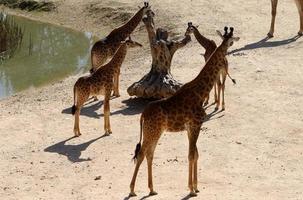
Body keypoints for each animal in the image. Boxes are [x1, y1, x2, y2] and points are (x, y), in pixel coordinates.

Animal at [129, 26, 241, 197]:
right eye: (229, 41)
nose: (228, 54)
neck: (200, 92)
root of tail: (142, 116)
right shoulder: (195, 124)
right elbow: (191, 155)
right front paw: (192, 189)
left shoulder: (190, 127)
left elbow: (195, 154)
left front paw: (196, 187)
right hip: (151, 132)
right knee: (142, 154)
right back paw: (132, 190)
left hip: (156, 131)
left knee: (149, 154)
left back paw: (152, 189)